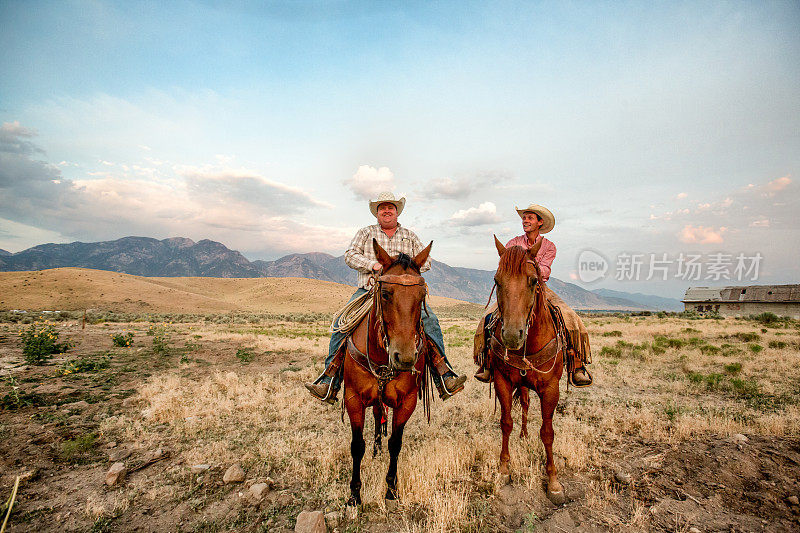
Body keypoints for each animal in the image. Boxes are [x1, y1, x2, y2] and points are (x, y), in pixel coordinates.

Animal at [342, 238, 432, 508]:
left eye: (421, 295)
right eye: (385, 294)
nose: (405, 358)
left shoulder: (407, 401)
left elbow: (395, 443)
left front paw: (391, 489)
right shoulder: (353, 399)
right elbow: (356, 446)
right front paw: (354, 494)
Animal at [484, 235, 564, 504]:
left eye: (533, 280)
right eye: (497, 280)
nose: (511, 335)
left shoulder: (551, 388)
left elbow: (548, 432)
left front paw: (553, 482)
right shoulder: (503, 381)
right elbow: (506, 422)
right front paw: (503, 470)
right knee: (526, 406)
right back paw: (523, 435)